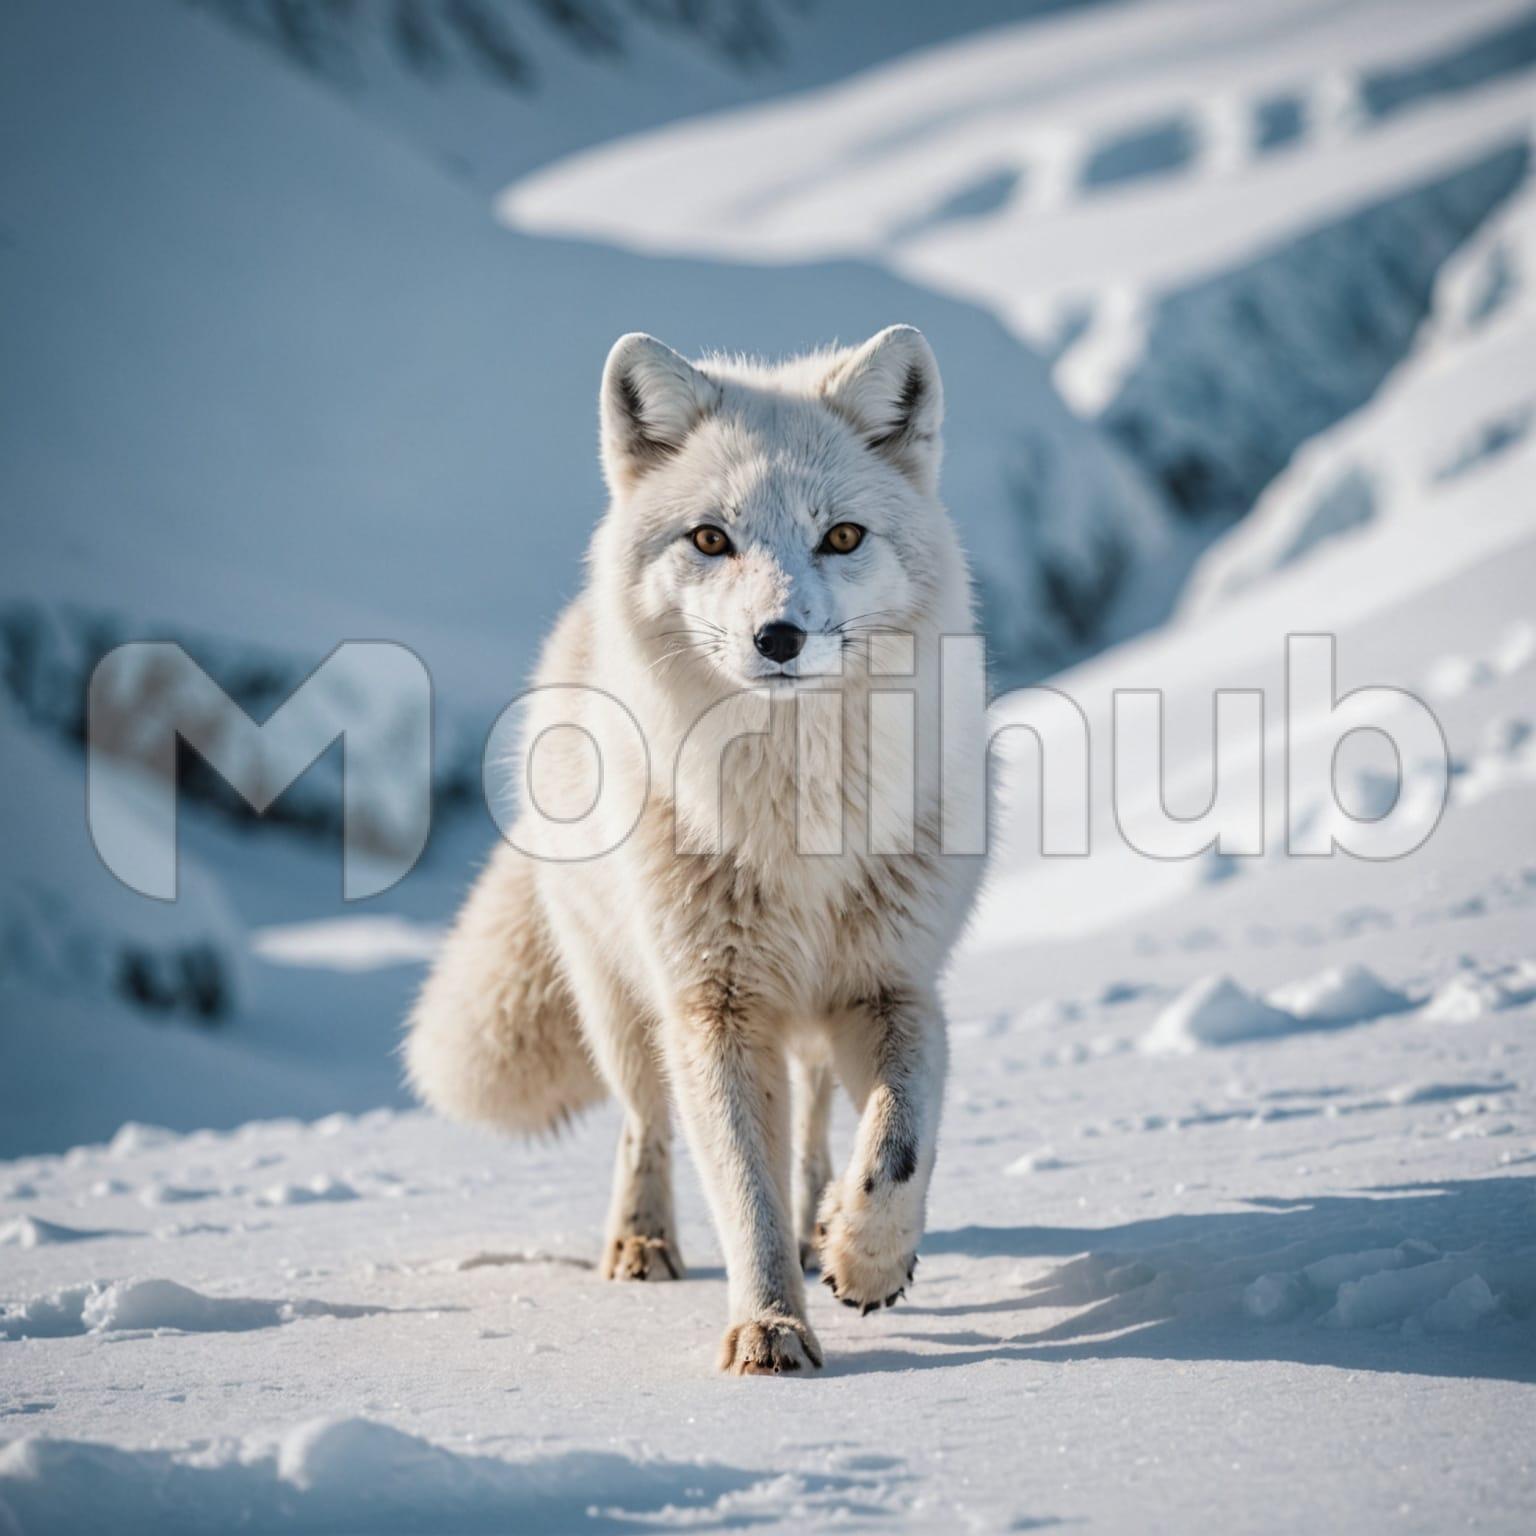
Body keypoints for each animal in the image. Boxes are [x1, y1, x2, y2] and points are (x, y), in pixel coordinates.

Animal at [406, 325, 986, 1374]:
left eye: (843, 537)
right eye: (712, 539)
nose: (779, 636)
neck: (797, 821)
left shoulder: (893, 985)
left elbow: (898, 1146)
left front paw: (866, 1258)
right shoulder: (714, 1009)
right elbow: (742, 1193)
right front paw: (771, 1329)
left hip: (806, 1019)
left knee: (815, 1125)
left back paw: (821, 1224)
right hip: (625, 1004)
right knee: (646, 1126)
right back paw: (641, 1245)